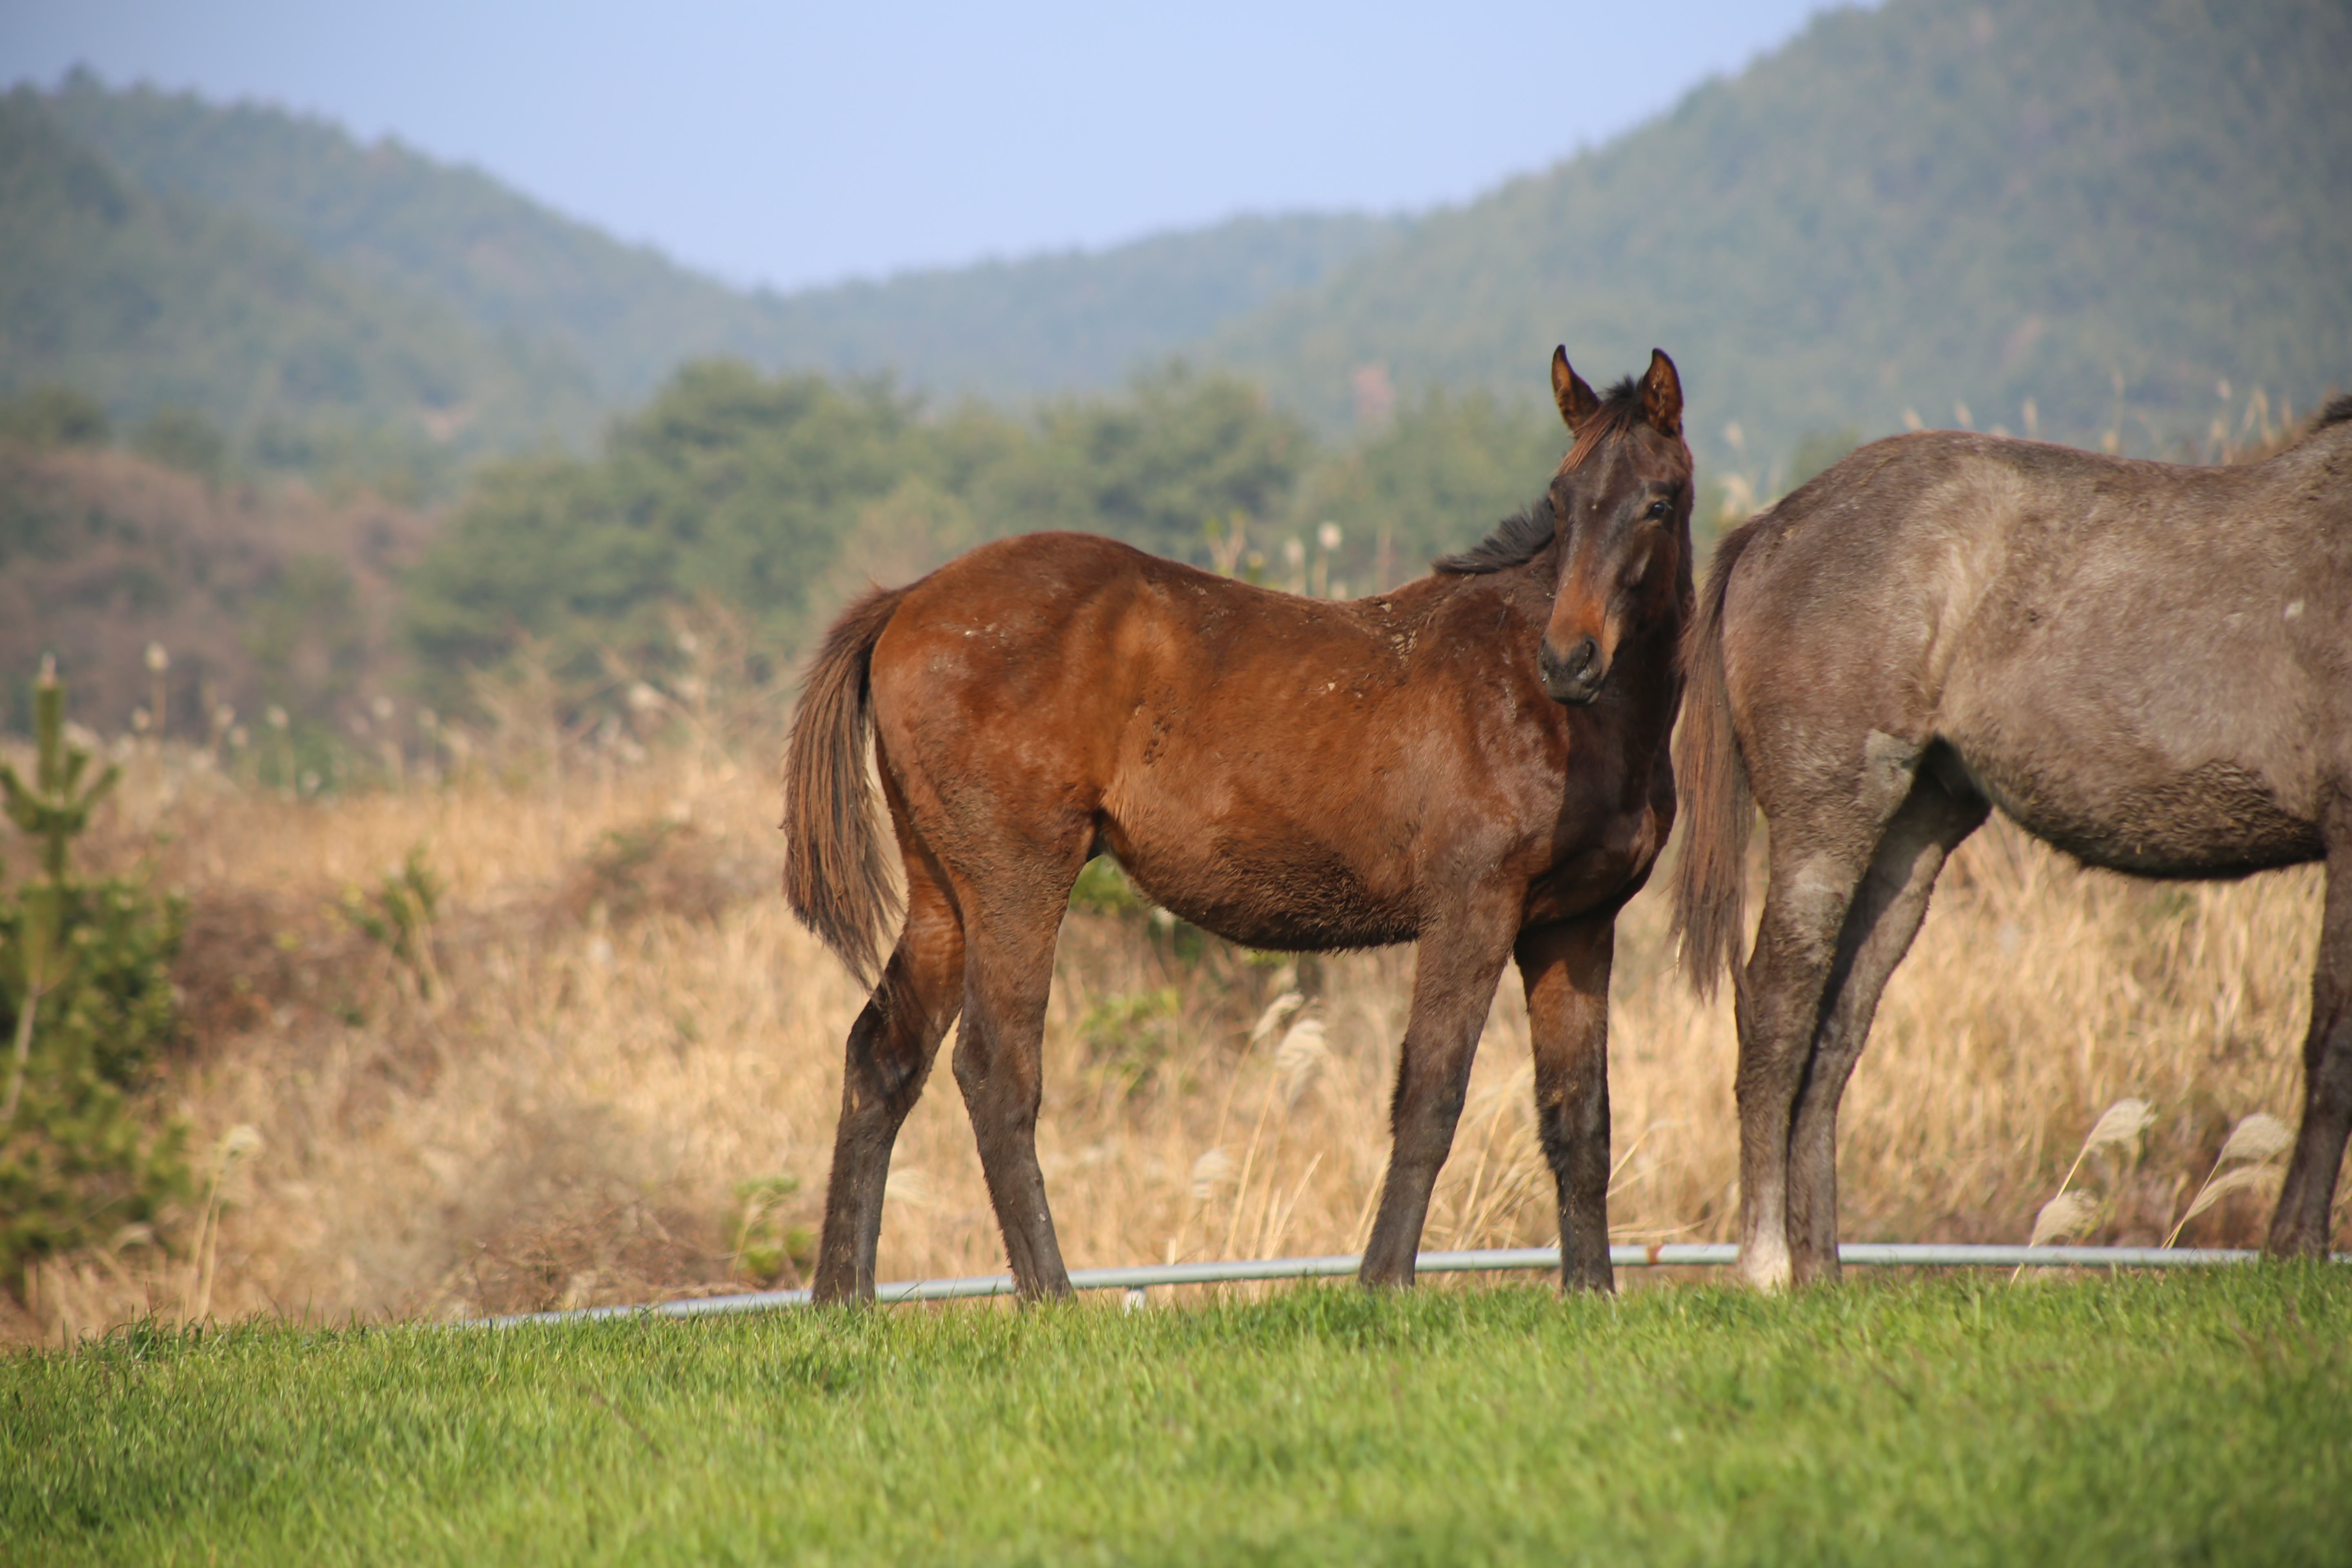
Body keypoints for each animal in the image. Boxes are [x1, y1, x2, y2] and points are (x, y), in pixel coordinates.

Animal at [785, 350, 1693, 1307]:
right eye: (1562, 498)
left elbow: (1579, 1116)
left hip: (942, 895)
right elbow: (1432, 1094)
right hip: (1016, 884)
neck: (1542, 707)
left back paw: (843, 1300)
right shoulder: (1471, 912)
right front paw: (1381, 1283)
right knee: (995, 1072)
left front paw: (1592, 1292)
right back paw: (1052, 1296)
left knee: (883, 1057)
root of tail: (907, 600)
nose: (1570, 660)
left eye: (1658, 501)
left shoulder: (1575, 928)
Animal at [1675, 402, 2352, 1288]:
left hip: (1913, 839)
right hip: (1827, 817)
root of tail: (1771, 525)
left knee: (1834, 1033)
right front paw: (2294, 1249)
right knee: (1777, 1013)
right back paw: (1764, 1267)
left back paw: (1820, 1272)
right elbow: (2333, 1042)